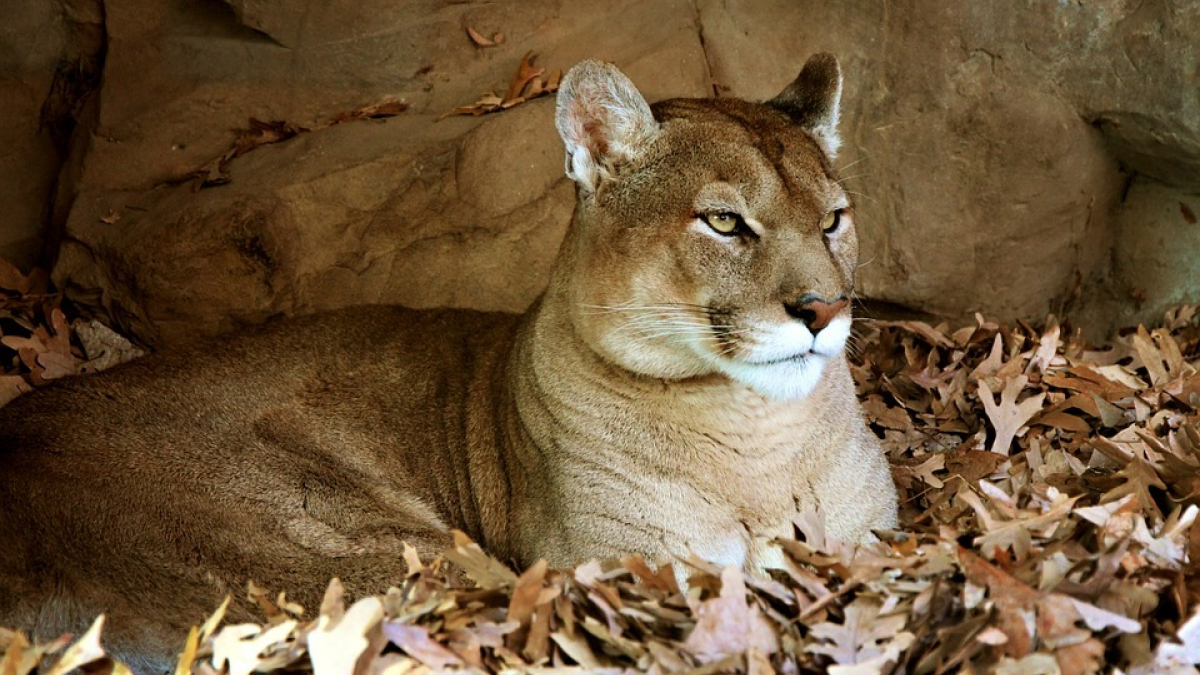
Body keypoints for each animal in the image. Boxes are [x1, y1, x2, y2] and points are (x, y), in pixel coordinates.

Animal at [0, 55, 892, 667]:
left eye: (834, 218)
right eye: (724, 222)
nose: (825, 308)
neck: (755, 440)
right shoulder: (619, 568)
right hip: (397, 557)